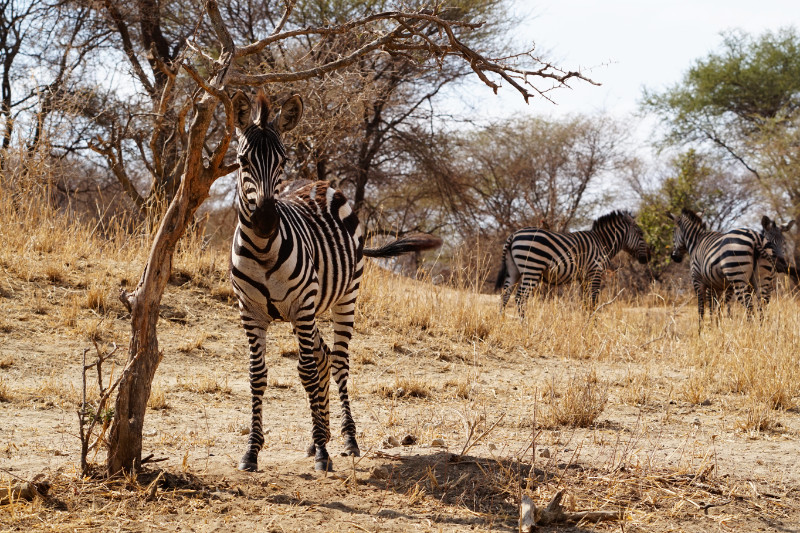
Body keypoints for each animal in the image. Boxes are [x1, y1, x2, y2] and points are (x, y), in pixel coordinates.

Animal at [229, 91, 441, 472]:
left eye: (283, 160)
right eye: (242, 161)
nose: (266, 220)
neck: (263, 248)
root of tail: (320, 183)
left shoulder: (301, 307)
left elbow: (307, 371)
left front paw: (324, 452)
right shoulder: (250, 312)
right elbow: (257, 375)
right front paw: (252, 451)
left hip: (343, 299)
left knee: (338, 362)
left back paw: (346, 439)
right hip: (311, 308)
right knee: (325, 356)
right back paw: (320, 437)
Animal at [495, 211, 651, 314]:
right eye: (641, 234)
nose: (648, 258)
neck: (603, 243)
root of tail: (514, 235)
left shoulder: (584, 277)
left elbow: (585, 302)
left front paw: (585, 324)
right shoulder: (595, 271)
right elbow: (593, 301)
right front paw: (592, 327)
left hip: (513, 270)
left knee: (505, 296)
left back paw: (502, 323)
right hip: (532, 269)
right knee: (520, 298)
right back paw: (525, 327)